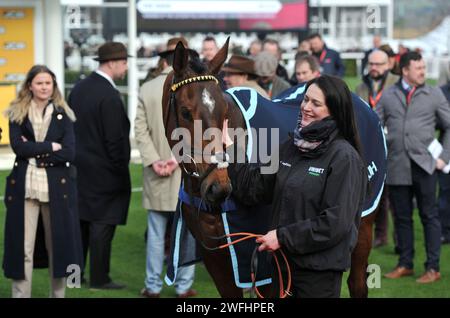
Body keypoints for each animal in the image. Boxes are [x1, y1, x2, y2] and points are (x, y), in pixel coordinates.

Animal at [162, 38, 380, 298]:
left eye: (224, 112)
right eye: (185, 112)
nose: (218, 186)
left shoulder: (263, 259)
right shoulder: (216, 256)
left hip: (362, 224)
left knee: (356, 282)